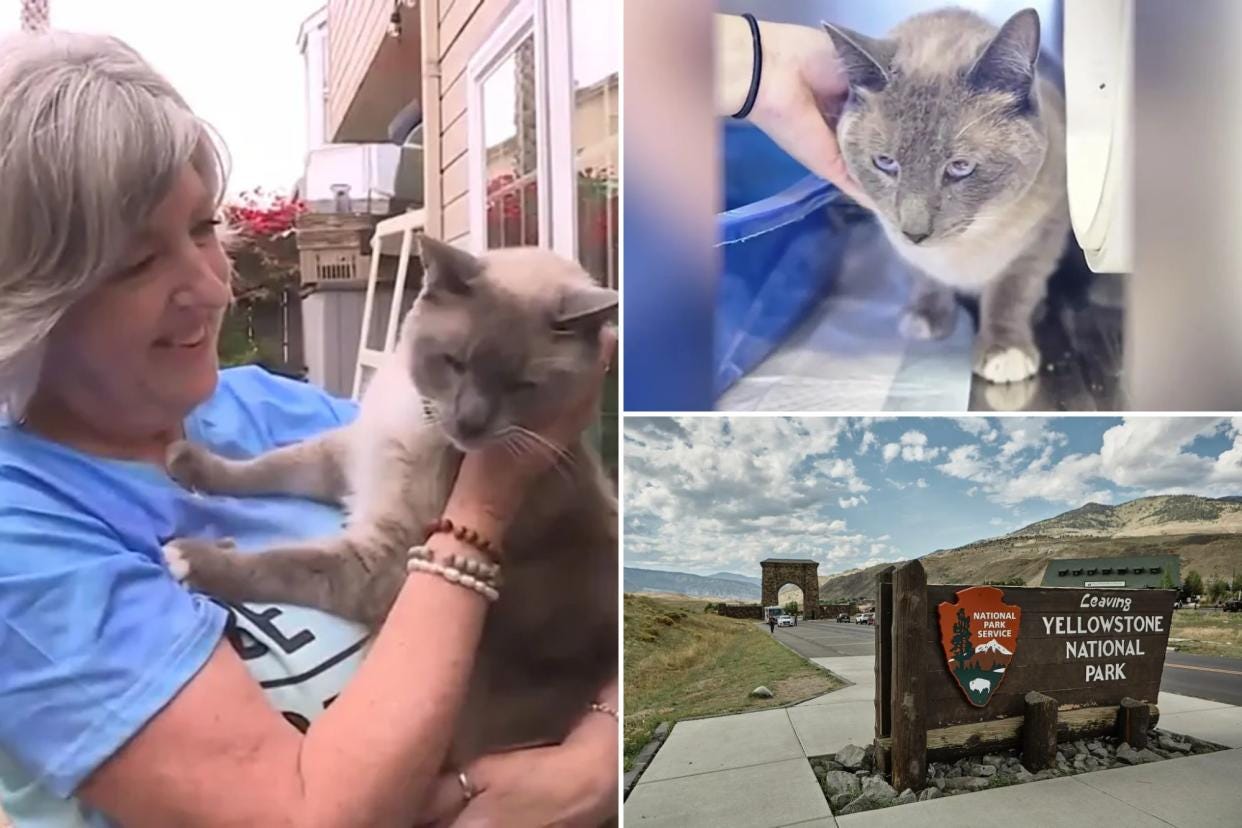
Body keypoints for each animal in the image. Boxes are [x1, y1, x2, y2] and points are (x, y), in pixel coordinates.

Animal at [160, 238, 616, 764]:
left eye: (521, 386)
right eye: (454, 362)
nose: (470, 423)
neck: (420, 423)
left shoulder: (385, 559)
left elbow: (279, 562)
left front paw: (187, 557)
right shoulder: (348, 457)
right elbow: (267, 466)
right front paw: (187, 462)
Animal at [824, 8, 1068, 384]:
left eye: (960, 167)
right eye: (885, 163)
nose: (915, 233)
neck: (965, 247)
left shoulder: (1043, 235)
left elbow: (1011, 293)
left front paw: (1004, 352)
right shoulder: (897, 240)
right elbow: (926, 278)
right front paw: (925, 318)